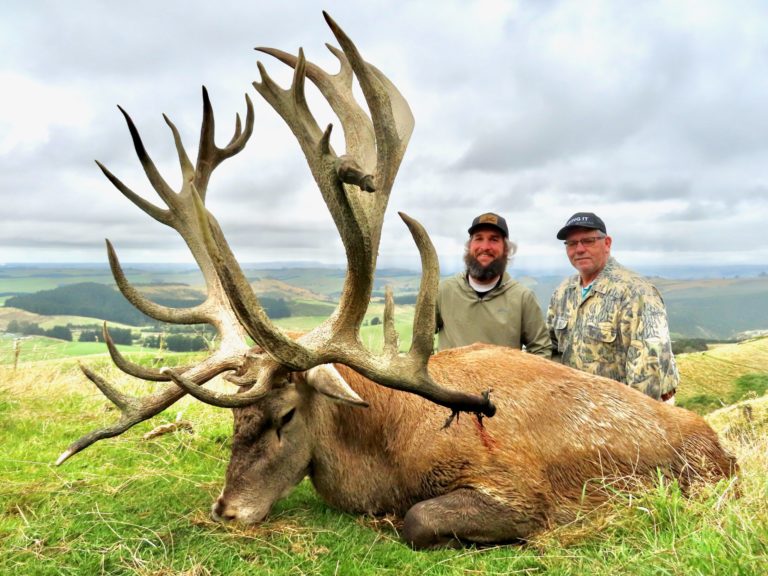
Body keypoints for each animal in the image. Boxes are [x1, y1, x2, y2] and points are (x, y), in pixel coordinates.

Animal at [56, 12, 737, 549]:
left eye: (284, 416)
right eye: (233, 422)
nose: (226, 510)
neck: (385, 449)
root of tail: (720, 446)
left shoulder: (519, 489)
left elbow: (418, 521)